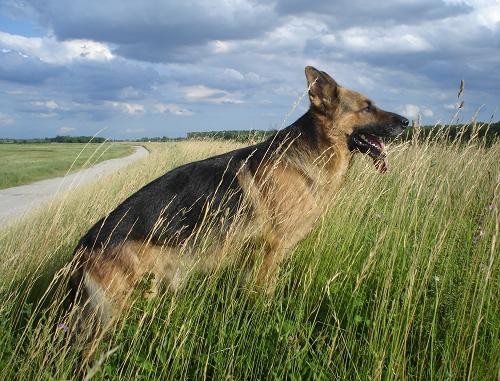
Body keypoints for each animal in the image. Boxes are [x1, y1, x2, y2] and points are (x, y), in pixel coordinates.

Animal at [68, 65, 408, 336]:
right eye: (367, 107)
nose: (406, 122)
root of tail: (84, 245)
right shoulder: (271, 250)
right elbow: (264, 293)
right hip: (118, 308)